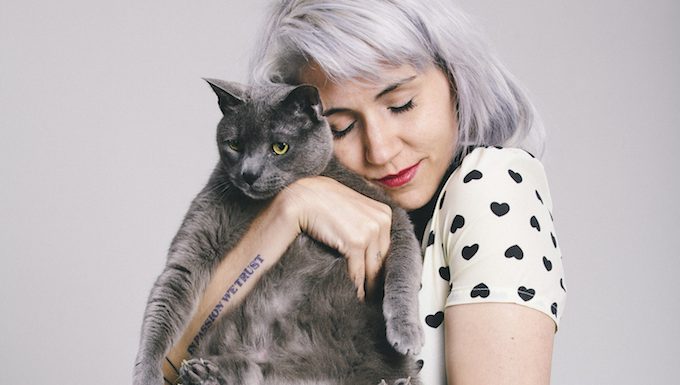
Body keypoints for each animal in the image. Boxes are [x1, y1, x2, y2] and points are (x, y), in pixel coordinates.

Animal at [133, 79, 422, 384]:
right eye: (235, 144)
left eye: (280, 147)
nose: (249, 174)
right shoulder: (199, 232)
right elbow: (170, 290)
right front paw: (147, 373)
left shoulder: (392, 214)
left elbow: (404, 268)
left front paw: (406, 333)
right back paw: (203, 374)